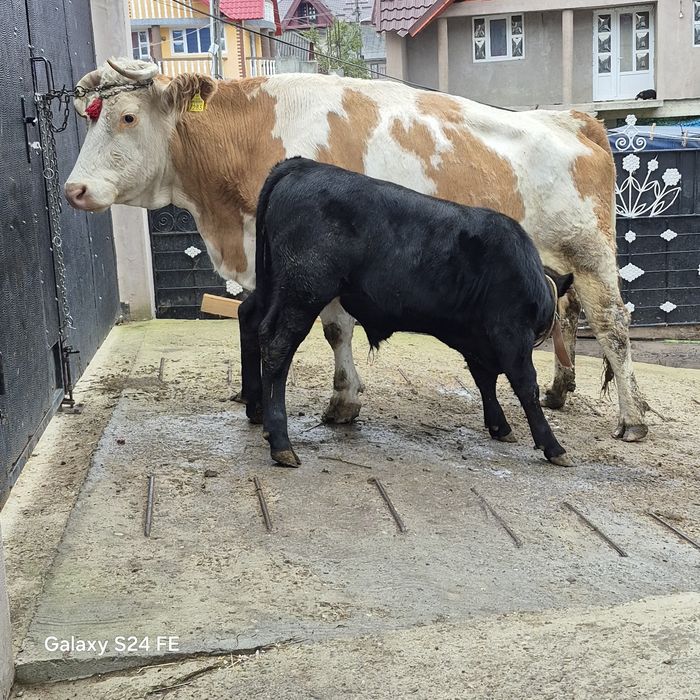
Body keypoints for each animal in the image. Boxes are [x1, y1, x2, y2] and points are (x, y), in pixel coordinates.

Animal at [247, 157, 574, 467]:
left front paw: (499, 426)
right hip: (305, 290)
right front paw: (553, 446)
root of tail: (302, 165)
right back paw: (281, 442)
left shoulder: (477, 341)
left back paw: (257, 411)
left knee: (252, 319)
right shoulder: (510, 332)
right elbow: (526, 385)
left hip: (274, 283)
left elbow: (485, 380)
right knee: (277, 345)